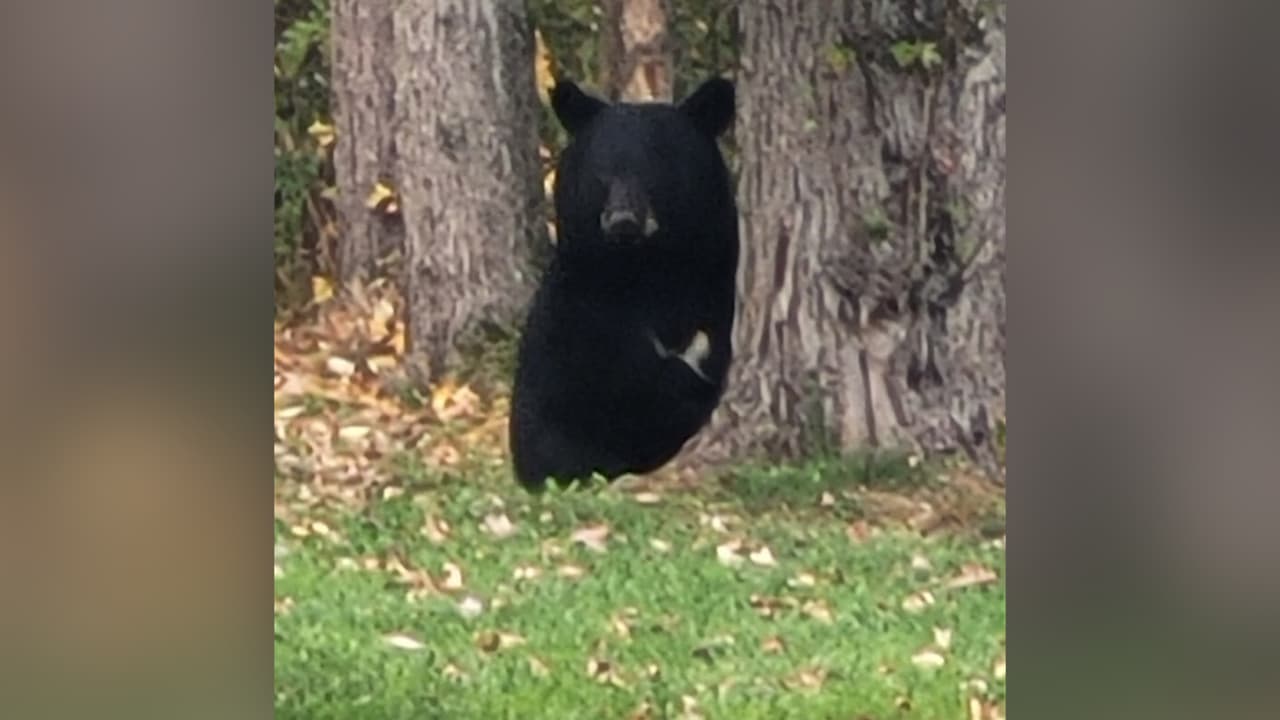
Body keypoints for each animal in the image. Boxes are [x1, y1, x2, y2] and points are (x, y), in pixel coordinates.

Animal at [508, 76, 739, 491]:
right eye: (602, 173)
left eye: (655, 169)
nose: (623, 220)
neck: (647, 269)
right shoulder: (579, 317)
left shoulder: (718, 289)